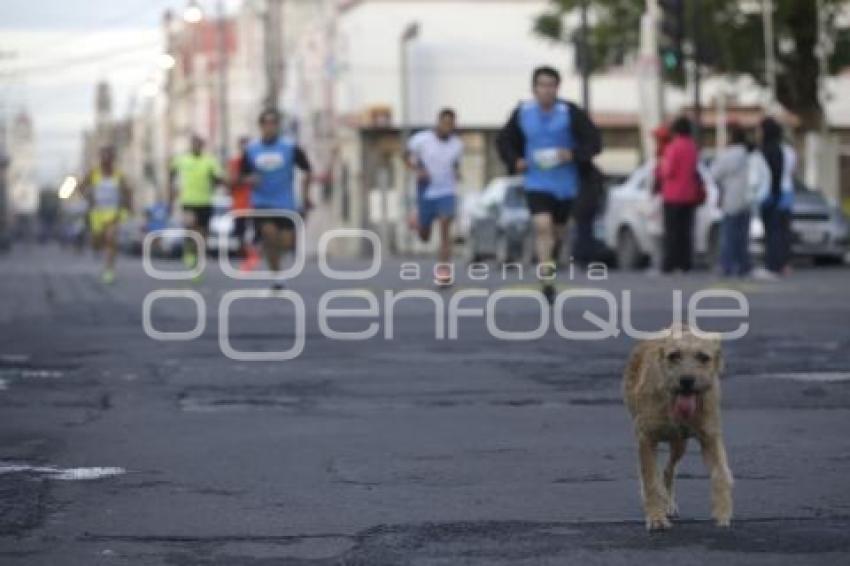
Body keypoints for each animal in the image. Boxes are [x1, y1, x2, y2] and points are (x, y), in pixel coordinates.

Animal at [620, 328, 732, 532]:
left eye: (703, 357)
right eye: (674, 356)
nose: (686, 380)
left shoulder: (710, 437)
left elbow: (721, 473)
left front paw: (722, 513)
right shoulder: (645, 438)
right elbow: (650, 480)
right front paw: (656, 517)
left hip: (680, 444)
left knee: (668, 471)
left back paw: (668, 502)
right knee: (654, 474)